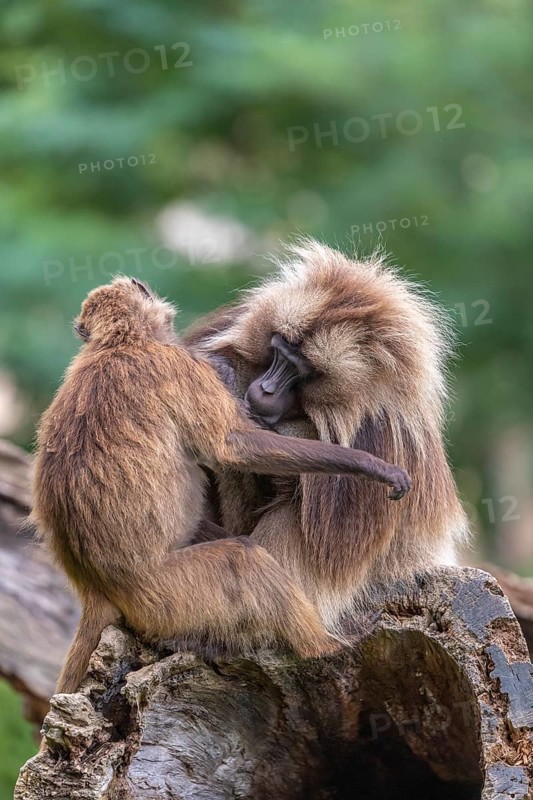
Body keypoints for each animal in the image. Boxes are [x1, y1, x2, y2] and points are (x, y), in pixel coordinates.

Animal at [31, 276, 412, 696]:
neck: (119, 345)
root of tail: (93, 586)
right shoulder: (181, 367)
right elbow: (233, 448)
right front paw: (371, 466)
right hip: (162, 595)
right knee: (242, 561)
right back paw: (324, 648)